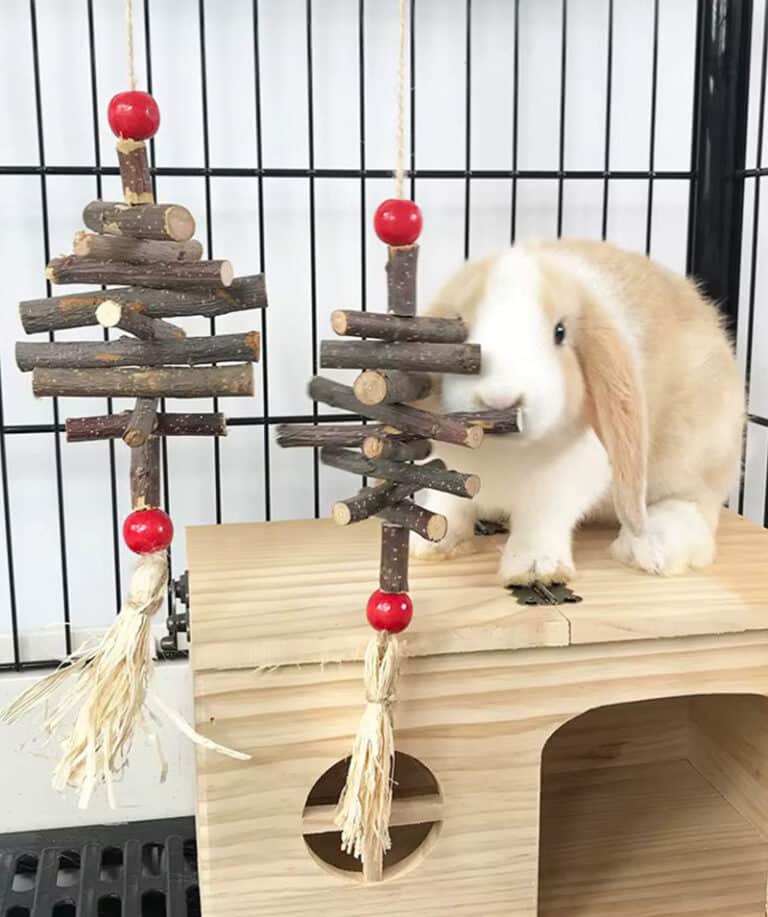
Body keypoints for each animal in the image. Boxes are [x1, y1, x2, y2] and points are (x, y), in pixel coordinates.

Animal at [410, 238, 745, 585]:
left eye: (560, 332)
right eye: (458, 327)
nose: (500, 398)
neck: (506, 452)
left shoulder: (566, 478)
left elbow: (542, 518)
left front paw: (536, 569)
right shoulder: (451, 471)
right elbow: (449, 504)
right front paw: (433, 545)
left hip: (694, 458)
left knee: (693, 508)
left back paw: (650, 548)